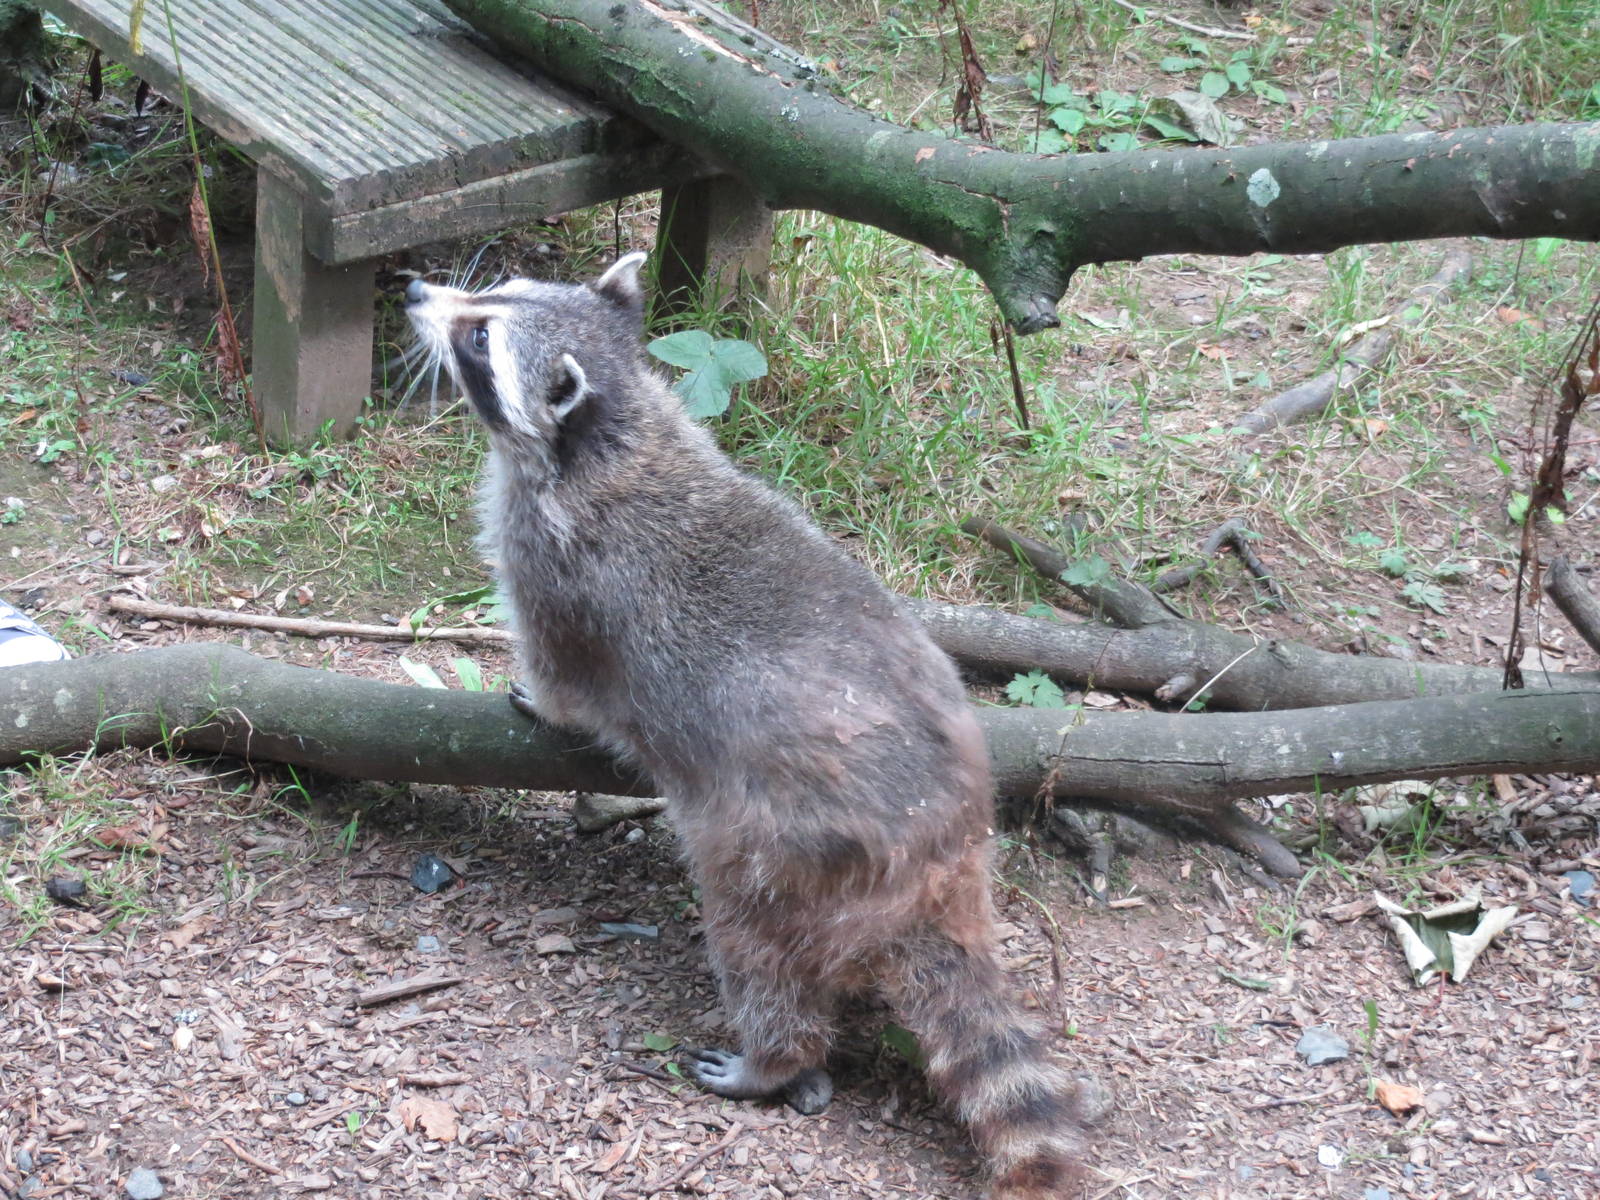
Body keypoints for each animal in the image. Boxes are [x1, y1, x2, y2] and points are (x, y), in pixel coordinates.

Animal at [404, 255, 1097, 1198]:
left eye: (479, 337)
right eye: (494, 291)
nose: (415, 295)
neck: (615, 429)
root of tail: (943, 854)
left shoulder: (557, 569)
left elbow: (565, 674)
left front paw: (544, 702)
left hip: (790, 848)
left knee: (756, 947)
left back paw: (775, 1058)